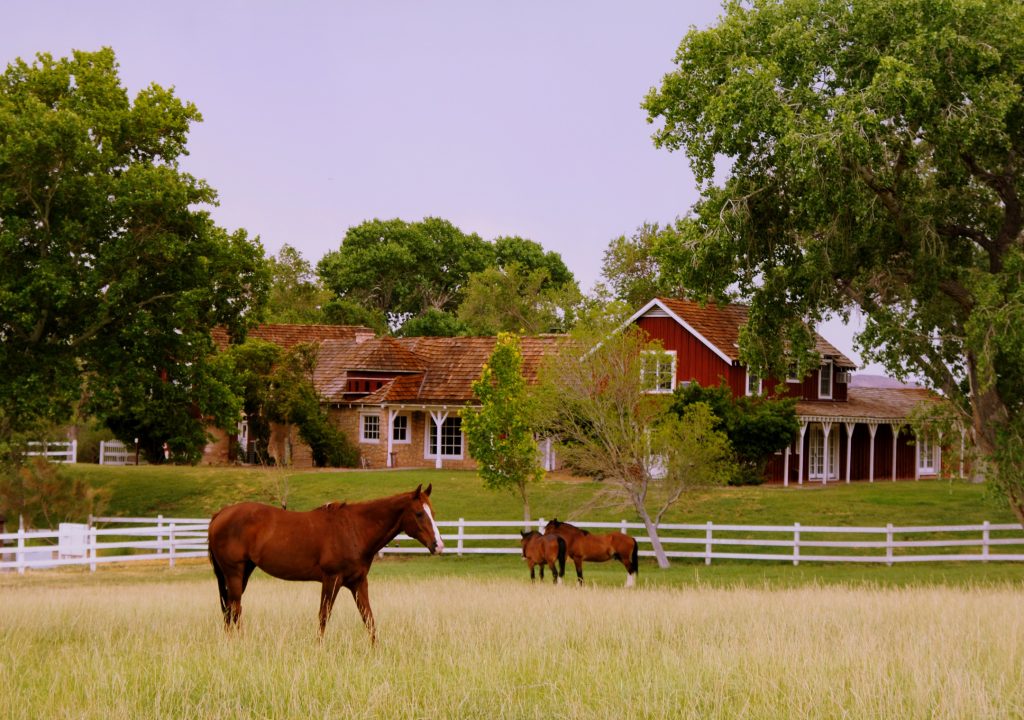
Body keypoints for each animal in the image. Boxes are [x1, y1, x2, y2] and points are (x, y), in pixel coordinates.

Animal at [208, 483, 444, 643]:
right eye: (419, 513)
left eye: (433, 512)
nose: (438, 545)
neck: (354, 529)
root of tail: (221, 513)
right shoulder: (332, 580)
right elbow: (323, 616)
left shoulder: (358, 583)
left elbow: (368, 618)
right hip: (234, 572)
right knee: (235, 608)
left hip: (243, 571)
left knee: (229, 608)